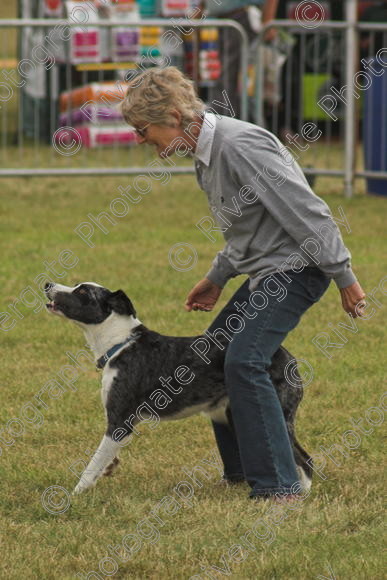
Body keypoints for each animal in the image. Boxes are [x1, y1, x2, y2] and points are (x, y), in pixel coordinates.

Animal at [44, 280, 314, 494]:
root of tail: (288, 357)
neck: (119, 344)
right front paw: (109, 468)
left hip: (278, 413)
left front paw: (76, 494)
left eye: (82, 292)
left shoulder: (120, 421)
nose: (48, 284)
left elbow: (92, 464)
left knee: (306, 460)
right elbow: (106, 458)